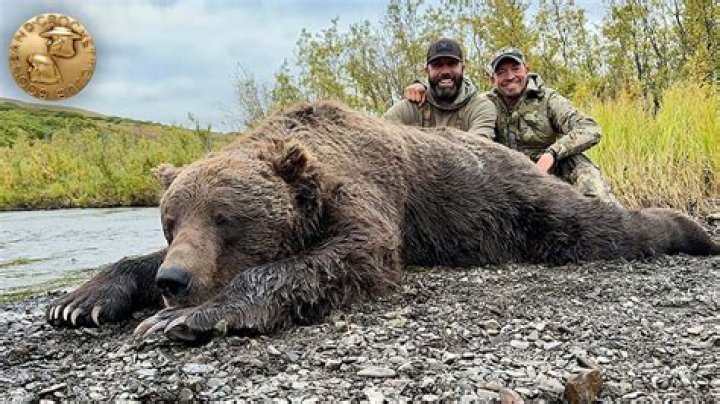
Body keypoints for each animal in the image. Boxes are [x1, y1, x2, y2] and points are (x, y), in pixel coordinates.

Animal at [46, 101, 720, 344]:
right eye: (170, 221)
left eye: (227, 219)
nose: (174, 282)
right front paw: (80, 300)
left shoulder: (366, 193)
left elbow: (350, 258)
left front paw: (190, 318)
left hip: (515, 198)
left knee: (594, 226)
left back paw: (693, 231)